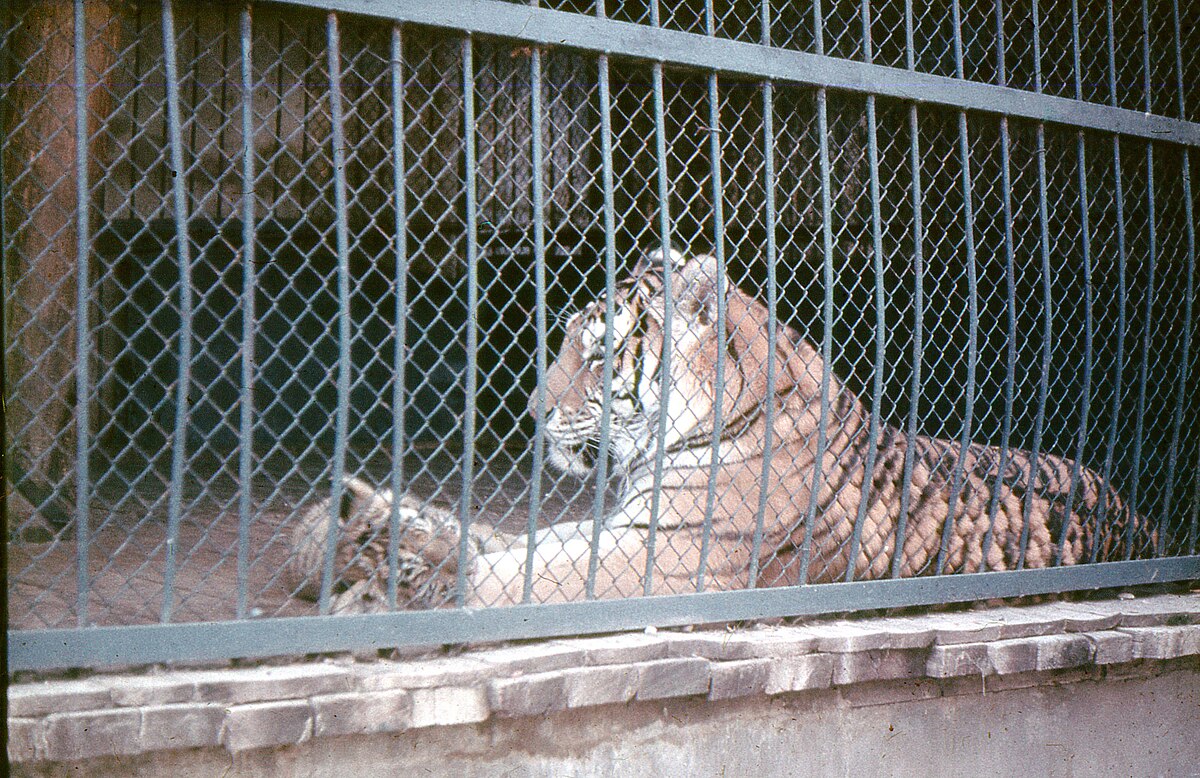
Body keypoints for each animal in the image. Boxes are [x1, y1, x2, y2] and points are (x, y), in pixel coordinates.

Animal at [288, 246, 1152, 609]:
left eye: (597, 355)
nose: (533, 412)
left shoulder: (659, 555)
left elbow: (507, 575)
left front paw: (381, 584)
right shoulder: (623, 525)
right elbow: (495, 540)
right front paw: (358, 529)